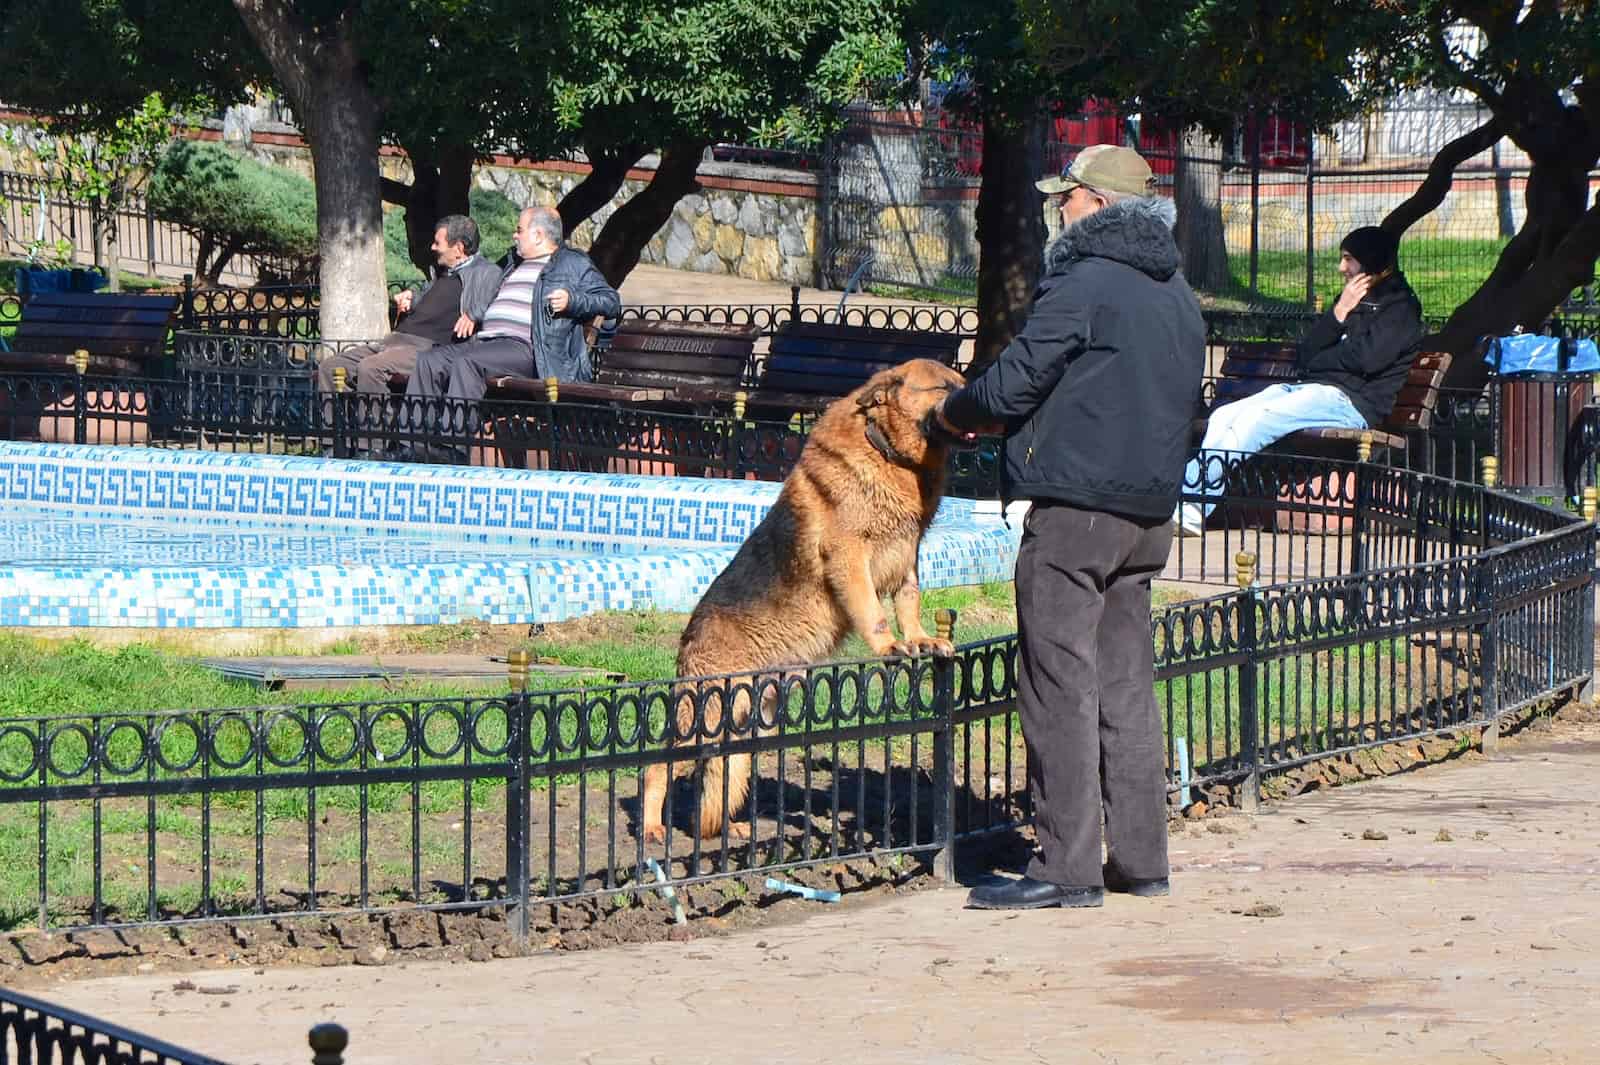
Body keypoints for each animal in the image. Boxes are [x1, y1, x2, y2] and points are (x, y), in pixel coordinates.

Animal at [636, 356, 972, 837]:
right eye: (943, 387)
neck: (885, 450)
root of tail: (687, 641)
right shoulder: (850, 558)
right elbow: (875, 613)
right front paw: (890, 646)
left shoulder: (908, 559)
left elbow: (908, 604)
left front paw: (920, 639)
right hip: (704, 719)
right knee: (654, 768)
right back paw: (650, 828)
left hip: (747, 726)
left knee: (721, 778)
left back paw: (727, 829)